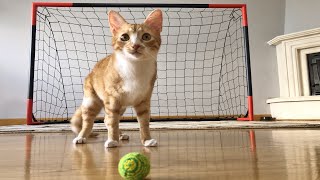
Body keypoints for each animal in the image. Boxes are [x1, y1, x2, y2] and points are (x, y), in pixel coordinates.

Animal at [71, 8, 164, 148]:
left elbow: (144, 123)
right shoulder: (113, 99)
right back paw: (82, 137)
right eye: (124, 37)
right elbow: (113, 122)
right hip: (91, 101)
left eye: (146, 37)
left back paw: (120, 135)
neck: (134, 68)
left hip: (122, 106)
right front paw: (112, 140)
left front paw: (147, 139)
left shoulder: (144, 100)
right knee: (89, 121)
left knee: (106, 119)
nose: (135, 45)